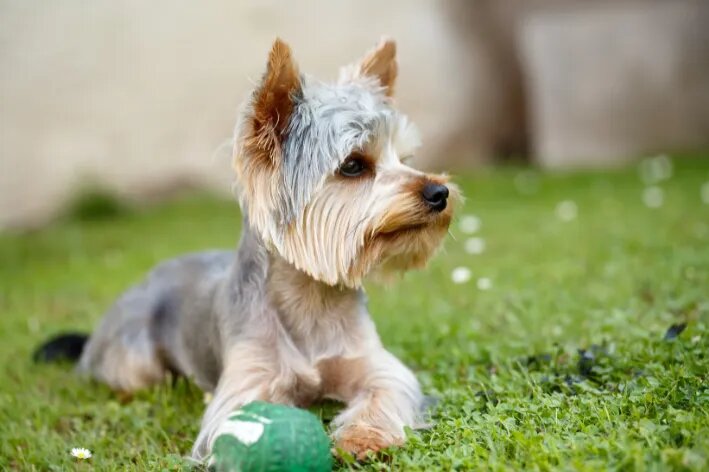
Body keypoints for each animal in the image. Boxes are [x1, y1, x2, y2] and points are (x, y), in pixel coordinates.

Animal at [37, 37, 460, 460]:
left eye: (405, 159)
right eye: (353, 165)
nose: (439, 192)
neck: (312, 298)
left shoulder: (372, 364)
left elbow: (387, 388)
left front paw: (364, 437)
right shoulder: (248, 381)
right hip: (133, 353)